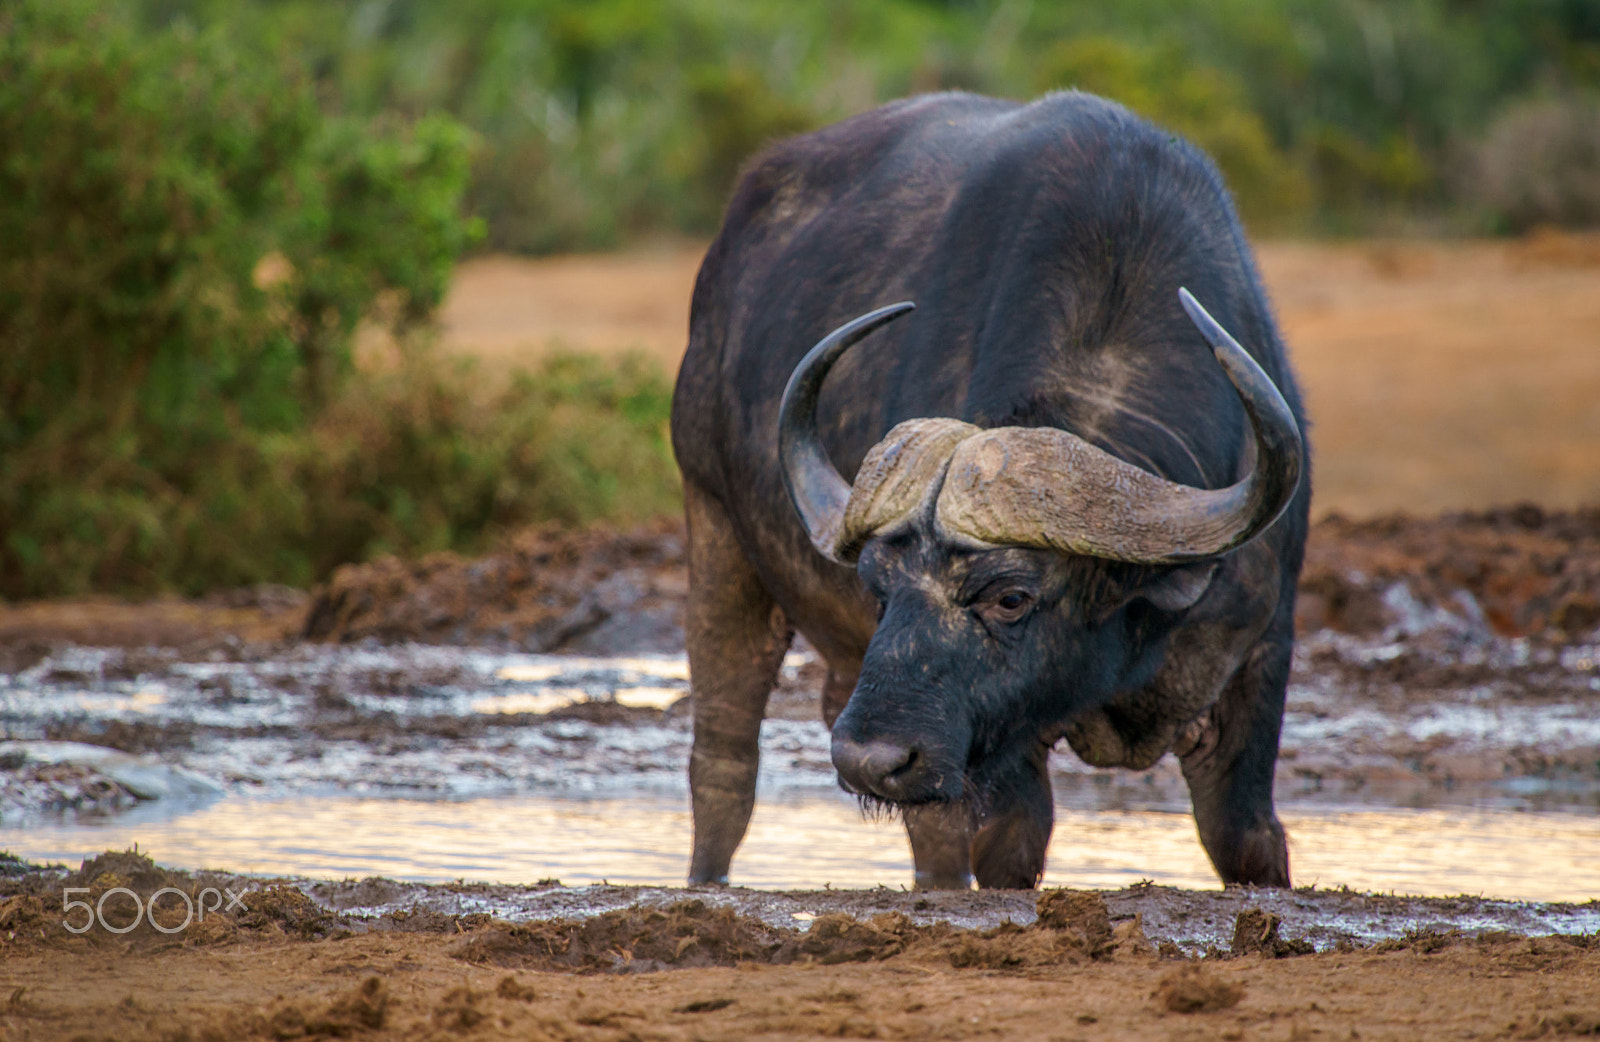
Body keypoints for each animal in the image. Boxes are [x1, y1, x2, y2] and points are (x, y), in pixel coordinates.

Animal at [668, 89, 1305, 889]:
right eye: (880, 587)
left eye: (1010, 598)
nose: (868, 760)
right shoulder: (1002, 747)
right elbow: (1010, 844)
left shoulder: (1260, 656)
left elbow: (1248, 839)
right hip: (715, 524)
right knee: (726, 762)